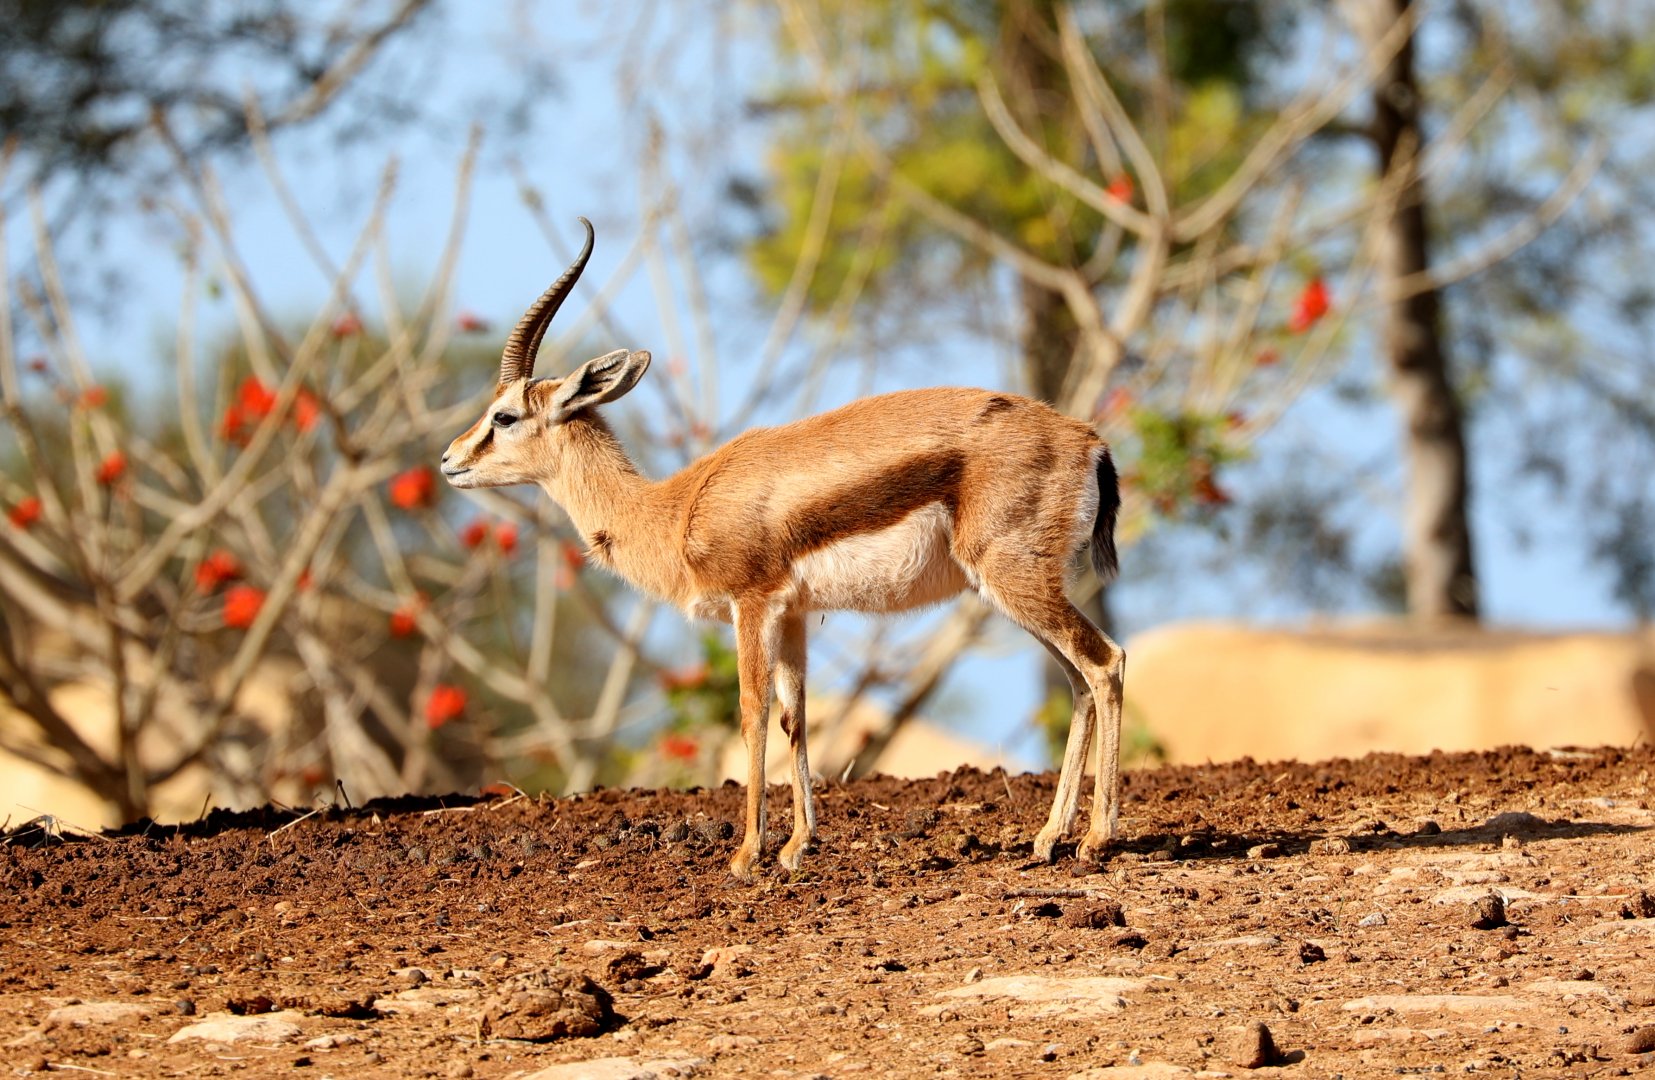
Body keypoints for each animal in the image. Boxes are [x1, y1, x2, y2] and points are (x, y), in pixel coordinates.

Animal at [442, 219, 1126, 880]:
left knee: (1106, 663)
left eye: (503, 417)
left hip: (1016, 582)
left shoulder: (751, 604)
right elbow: (795, 717)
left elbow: (752, 710)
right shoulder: (794, 613)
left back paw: (1096, 840)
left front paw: (747, 855)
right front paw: (798, 848)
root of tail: (1088, 440)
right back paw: (1047, 839)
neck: (678, 507)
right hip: (1014, 592)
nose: (448, 461)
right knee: (1076, 682)